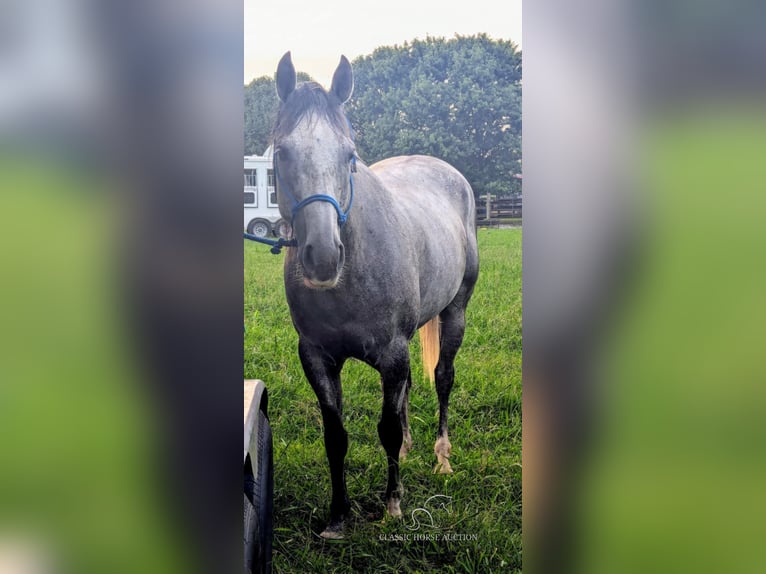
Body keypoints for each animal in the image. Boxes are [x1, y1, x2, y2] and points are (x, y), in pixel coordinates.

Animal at [272, 53, 480, 540]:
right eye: (282, 151)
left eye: (349, 154)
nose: (324, 257)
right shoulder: (317, 357)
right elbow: (337, 435)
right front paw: (338, 517)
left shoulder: (392, 352)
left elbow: (386, 427)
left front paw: (393, 505)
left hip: (455, 313)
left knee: (442, 377)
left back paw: (441, 456)